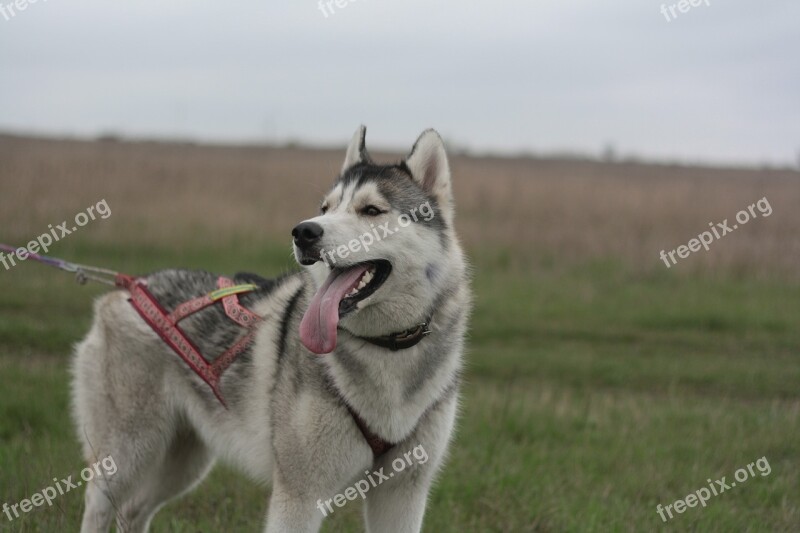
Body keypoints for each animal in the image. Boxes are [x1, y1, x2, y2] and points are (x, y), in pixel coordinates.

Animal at [72, 125, 472, 532]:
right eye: (325, 209)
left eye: (371, 210)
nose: (303, 231)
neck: (385, 347)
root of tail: (128, 288)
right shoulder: (299, 496)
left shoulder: (404, 492)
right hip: (126, 454)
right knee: (100, 507)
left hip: (184, 459)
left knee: (133, 510)